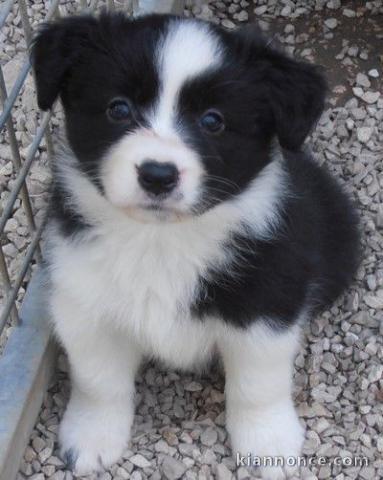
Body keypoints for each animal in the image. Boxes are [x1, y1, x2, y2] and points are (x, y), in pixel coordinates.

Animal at [32, 11, 360, 480]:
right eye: (118, 108)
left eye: (213, 120)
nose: (157, 174)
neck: (161, 239)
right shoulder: (84, 298)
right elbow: (99, 379)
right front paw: (92, 437)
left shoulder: (265, 303)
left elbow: (259, 383)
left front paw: (267, 443)